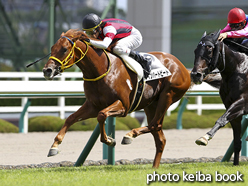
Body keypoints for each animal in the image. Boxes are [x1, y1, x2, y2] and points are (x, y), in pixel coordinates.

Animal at [42, 28, 191, 167]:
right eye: (52, 48)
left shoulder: (123, 106)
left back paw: (129, 135)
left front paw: (109, 140)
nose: (47, 70)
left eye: (64, 49)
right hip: (151, 105)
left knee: (155, 125)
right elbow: (71, 118)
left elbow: (102, 115)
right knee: (160, 137)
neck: (100, 70)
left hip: (167, 95)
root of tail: (184, 68)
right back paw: (154, 167)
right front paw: (54, 146)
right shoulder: (92, 106)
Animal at [191, 30, 248, 166]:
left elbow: (221, 119)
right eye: (195, 50)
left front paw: (204, 137)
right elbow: (236, 141)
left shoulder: (242, 102)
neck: (236, 69)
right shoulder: (232, 107)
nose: (195, 75)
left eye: (209, 49)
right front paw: (235, 164)